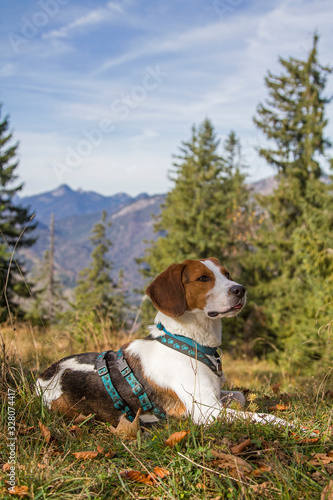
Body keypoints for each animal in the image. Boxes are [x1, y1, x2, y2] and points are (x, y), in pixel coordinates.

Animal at [35, 260, 290, 428]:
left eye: (226, 274)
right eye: (203, 278)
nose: (241, 289)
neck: (187, 341)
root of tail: (43, 376)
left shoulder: (216, 398)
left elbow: (240, 396)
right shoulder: (206, 411)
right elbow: (265, 417)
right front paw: (293, 425)